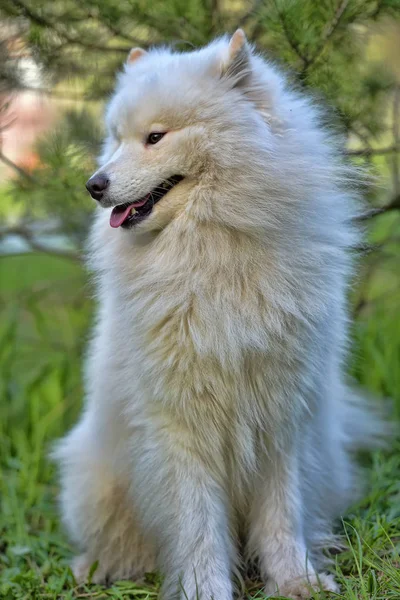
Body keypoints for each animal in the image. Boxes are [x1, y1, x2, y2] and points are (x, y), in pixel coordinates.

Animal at [54, 29, 382, 600]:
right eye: (115, 139)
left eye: (155, 137)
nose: (94, 185)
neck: (214, 250)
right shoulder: (180, 425)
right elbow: (197, 525)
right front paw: (204, 589)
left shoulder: (282, 413)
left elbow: (282, 514)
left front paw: (296, 580)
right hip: (93, 475)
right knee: (115, 540)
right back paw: (99, 568)